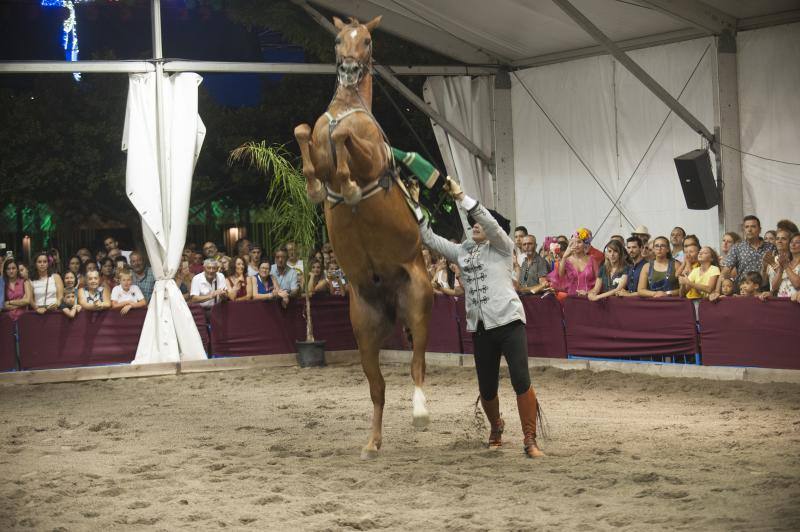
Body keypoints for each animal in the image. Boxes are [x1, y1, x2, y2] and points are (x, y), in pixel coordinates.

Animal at [292, 15, 432, 458]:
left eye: (367, 39)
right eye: (339, 38)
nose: (350, 69)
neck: (346, 111)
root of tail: (390, 301)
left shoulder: (370, 160)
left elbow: (343, 143)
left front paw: (350, 186)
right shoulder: (317, 148)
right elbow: (305, 134)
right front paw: (317, 187)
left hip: (418, 300)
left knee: (417, 364)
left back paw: (420, 412)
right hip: (364, 328)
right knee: (378, 388)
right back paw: (372, 442)